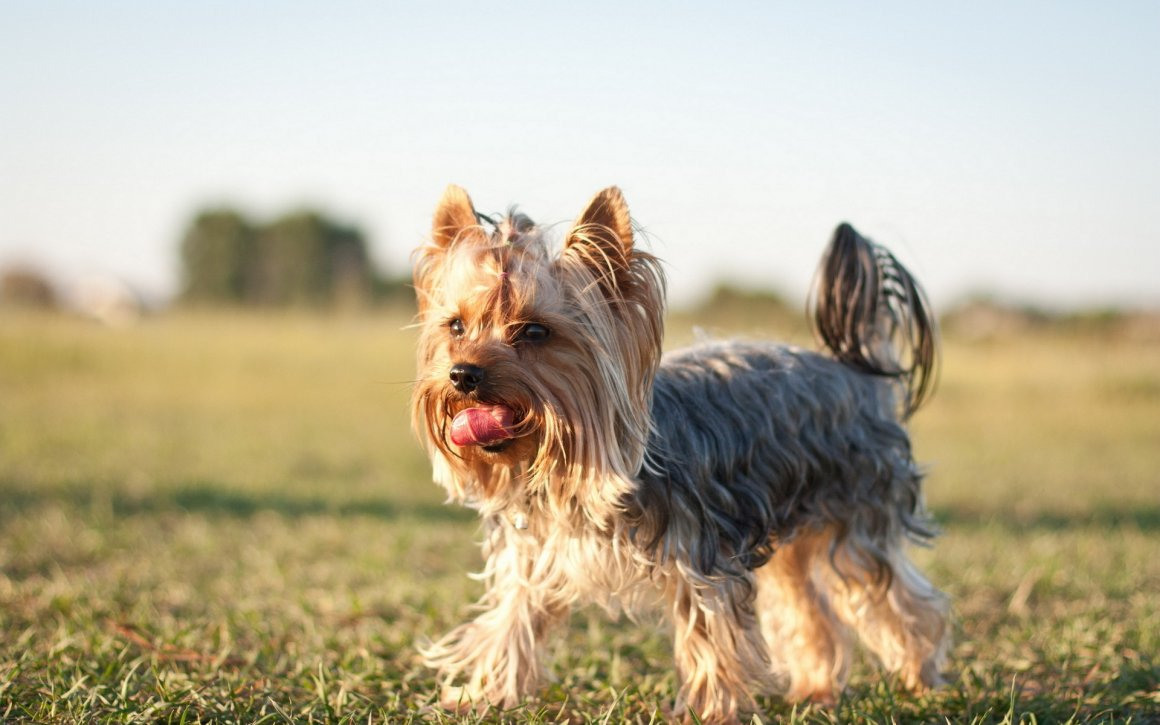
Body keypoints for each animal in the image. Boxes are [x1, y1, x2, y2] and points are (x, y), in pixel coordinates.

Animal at [412, 185, 946, 719]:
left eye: (536, 332)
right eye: (456, 326)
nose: (463, 374)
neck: (568, 471)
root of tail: (855, 370)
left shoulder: (703, 562)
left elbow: (710, 639)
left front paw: (707, 713)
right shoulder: (533, 557)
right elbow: (511, 622)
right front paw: (482, 695)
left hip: (857, 516)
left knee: (895, 600)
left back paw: (919, 680)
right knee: (806, 608)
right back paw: (816, 689)